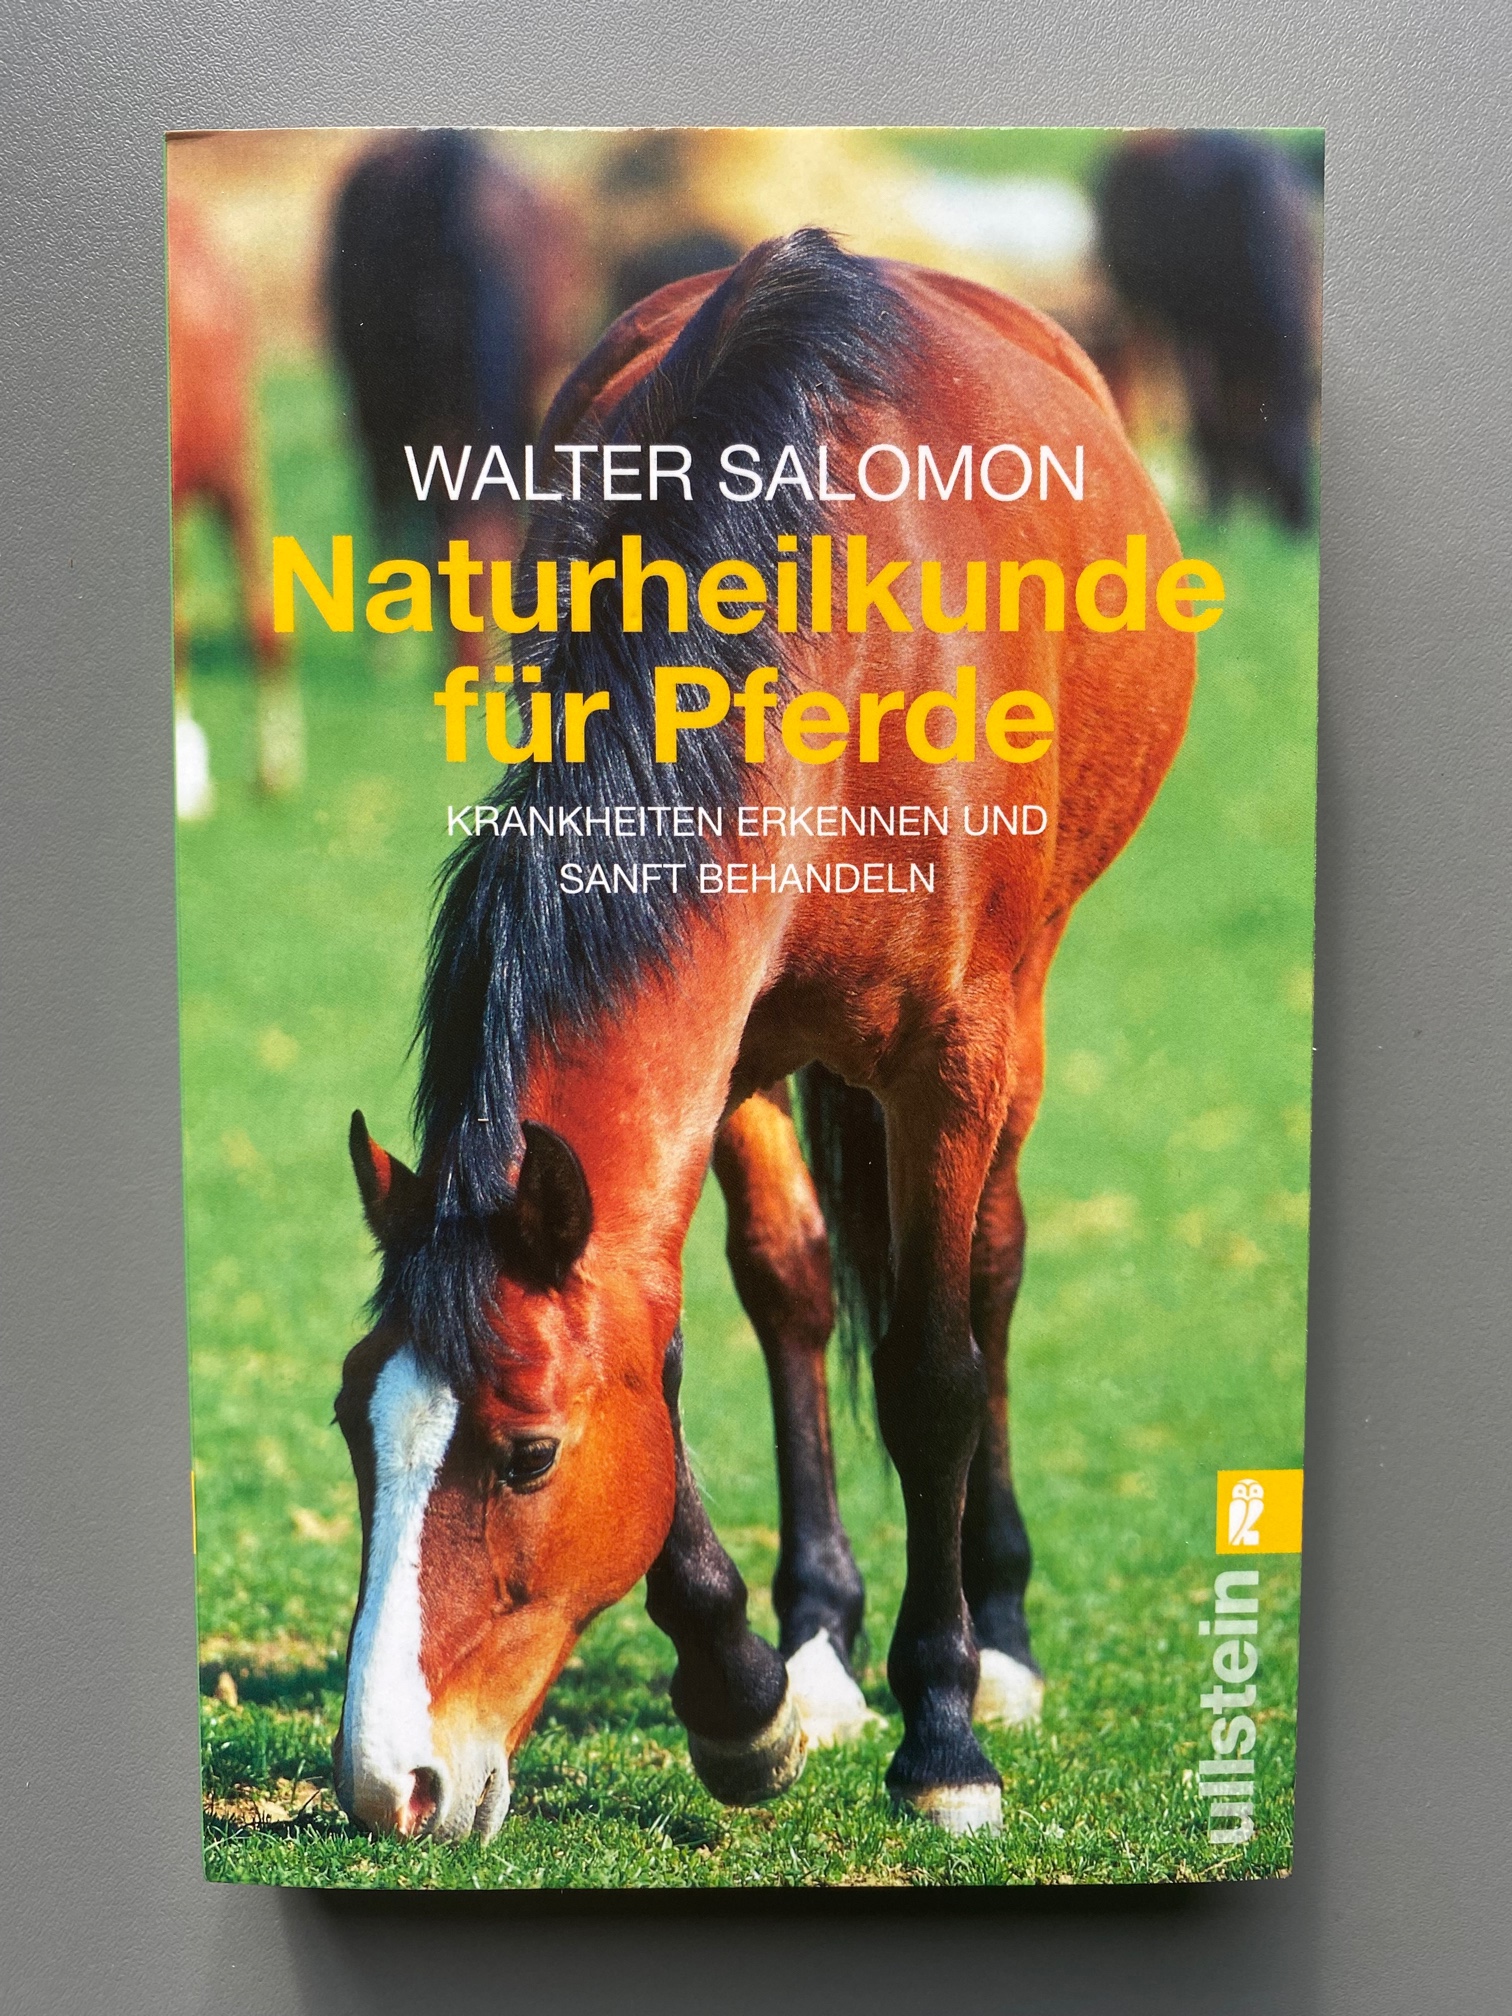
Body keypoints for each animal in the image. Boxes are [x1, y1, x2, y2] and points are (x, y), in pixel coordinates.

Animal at [331, 229, 1196, 1840]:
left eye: (526, 1454)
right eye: (361, 1426)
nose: (386, 1782)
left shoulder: (956, 1056)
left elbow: (932, 1369)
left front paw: (944, 1736)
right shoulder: (723, 1052)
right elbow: (685, 1336)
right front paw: (745, 1701)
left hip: (1017, 1021)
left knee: (990, 1278)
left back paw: (997, 1638)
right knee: (799, 1287)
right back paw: (819, 1643)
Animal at [1095, 130, 1319, 530]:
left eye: (1309, 462)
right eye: (1272, 470)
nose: (1300, 530)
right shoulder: (1191, 328)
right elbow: (1207, 422)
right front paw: (1215, 513)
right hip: (1137, 309)